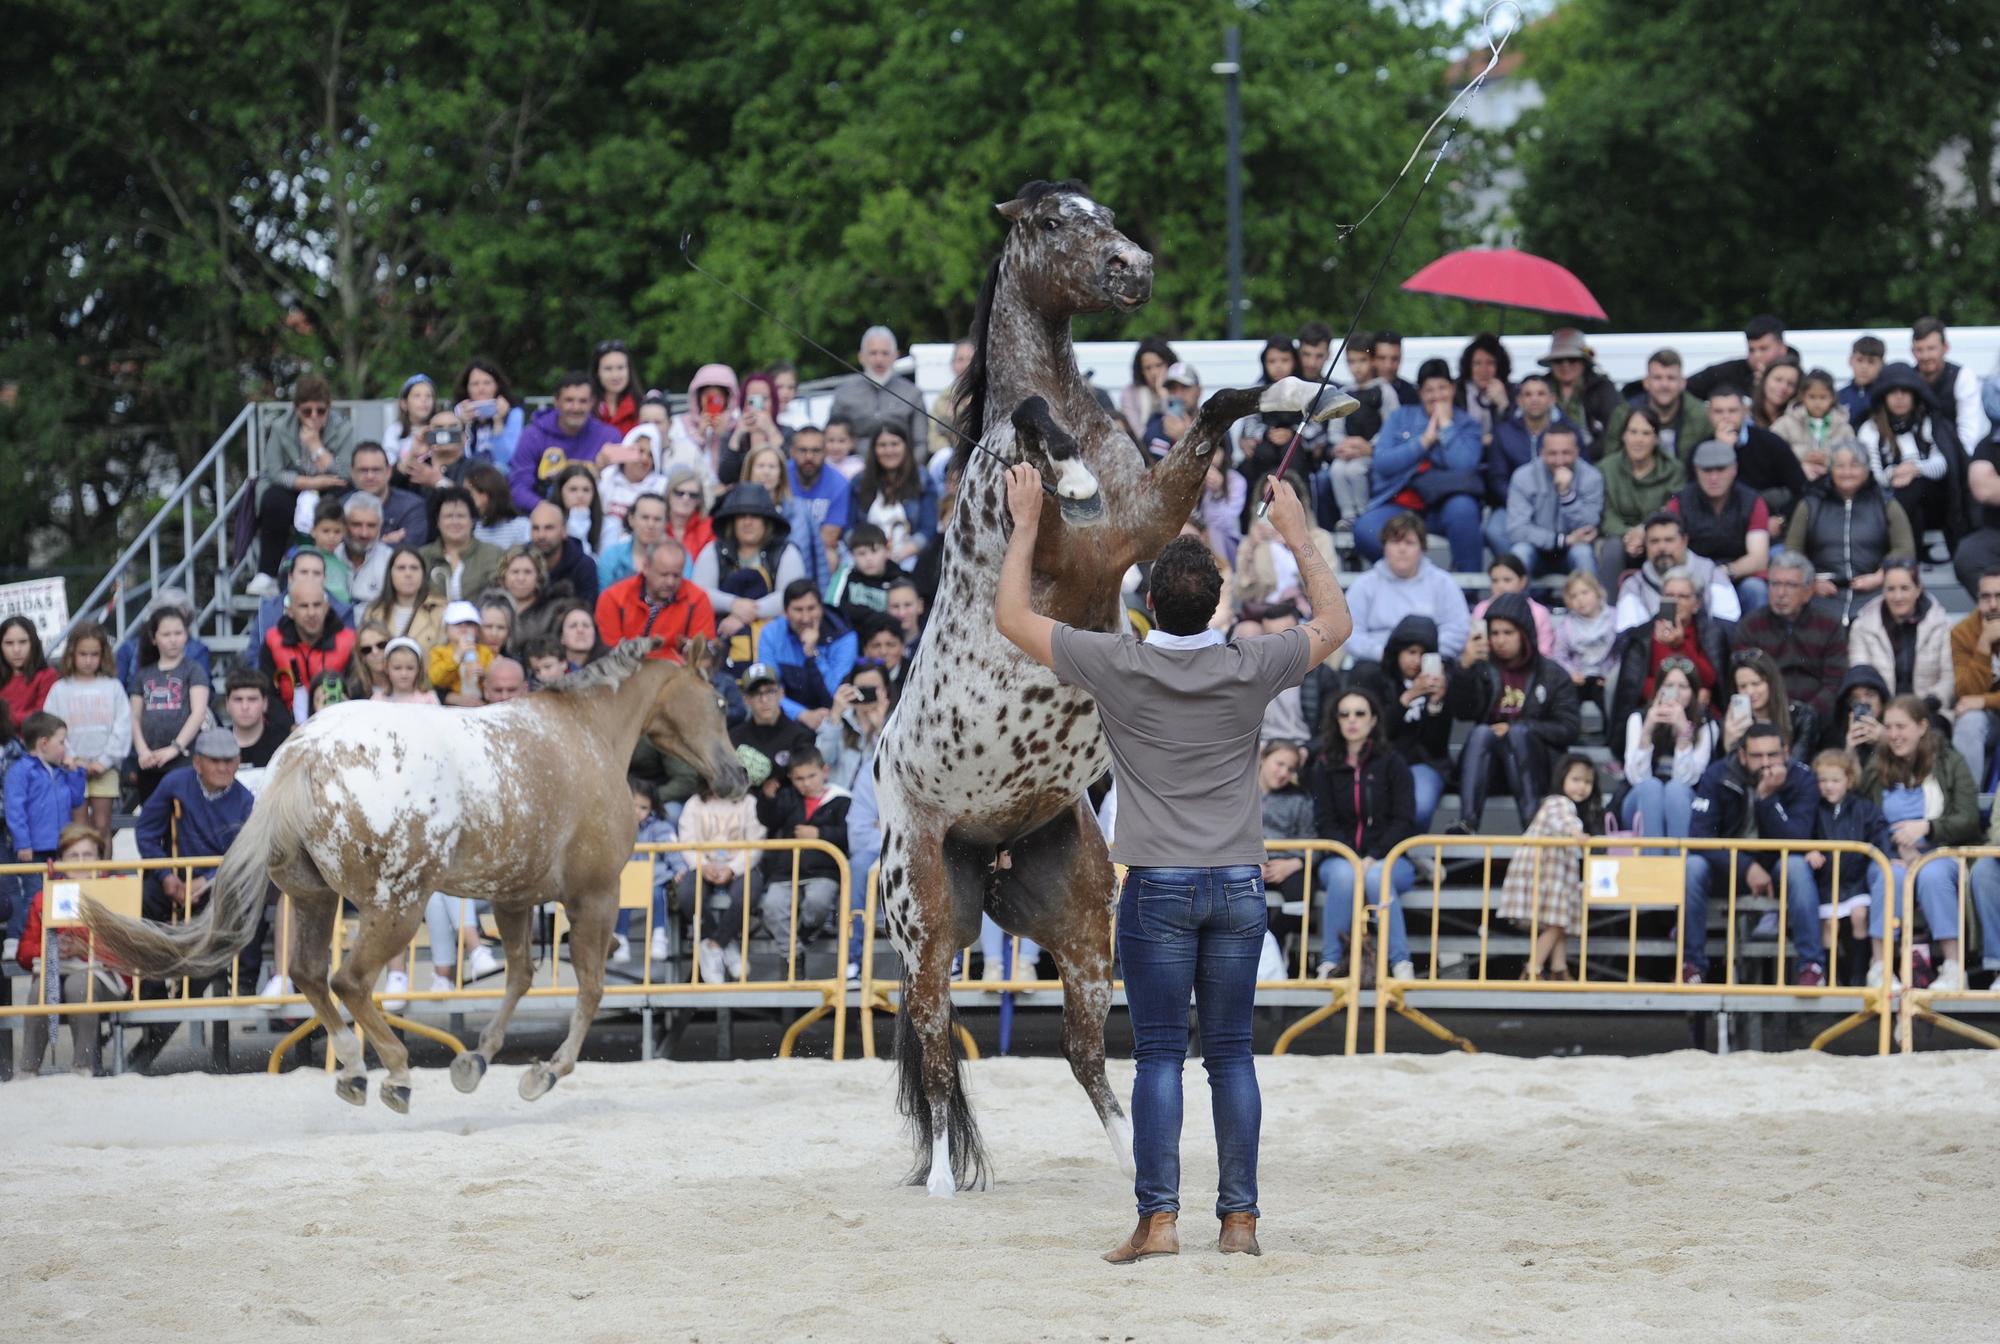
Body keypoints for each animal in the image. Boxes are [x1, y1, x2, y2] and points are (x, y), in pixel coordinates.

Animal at [82, 640, 748, 1112]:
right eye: (718, 702)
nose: (739, 775)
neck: (586, 733)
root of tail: (304, 753)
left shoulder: (513, 897)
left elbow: (521, 977)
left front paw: (475, 1062)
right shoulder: (594, 896)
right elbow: (588, 989)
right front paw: (543, 1074)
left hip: (316, 899)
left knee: (309, 974)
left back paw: (353, 1068)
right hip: (398, 905)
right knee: (349, 980)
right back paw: (395, 1074)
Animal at [872, 181, 1352, 1200]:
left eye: (1105, 209)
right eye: (1055, 221)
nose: (1135, 267)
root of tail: (987, 851)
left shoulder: (1147, 524)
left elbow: (1214, 405)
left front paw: (1311, 390)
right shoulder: (1062, 540)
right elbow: (1030, 423)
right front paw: (1066, 464)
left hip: (1085, 924)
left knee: (1084, 1052)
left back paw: (1131, 1154)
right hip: (925, 918)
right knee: (933, 1040)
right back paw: (940, 1182)